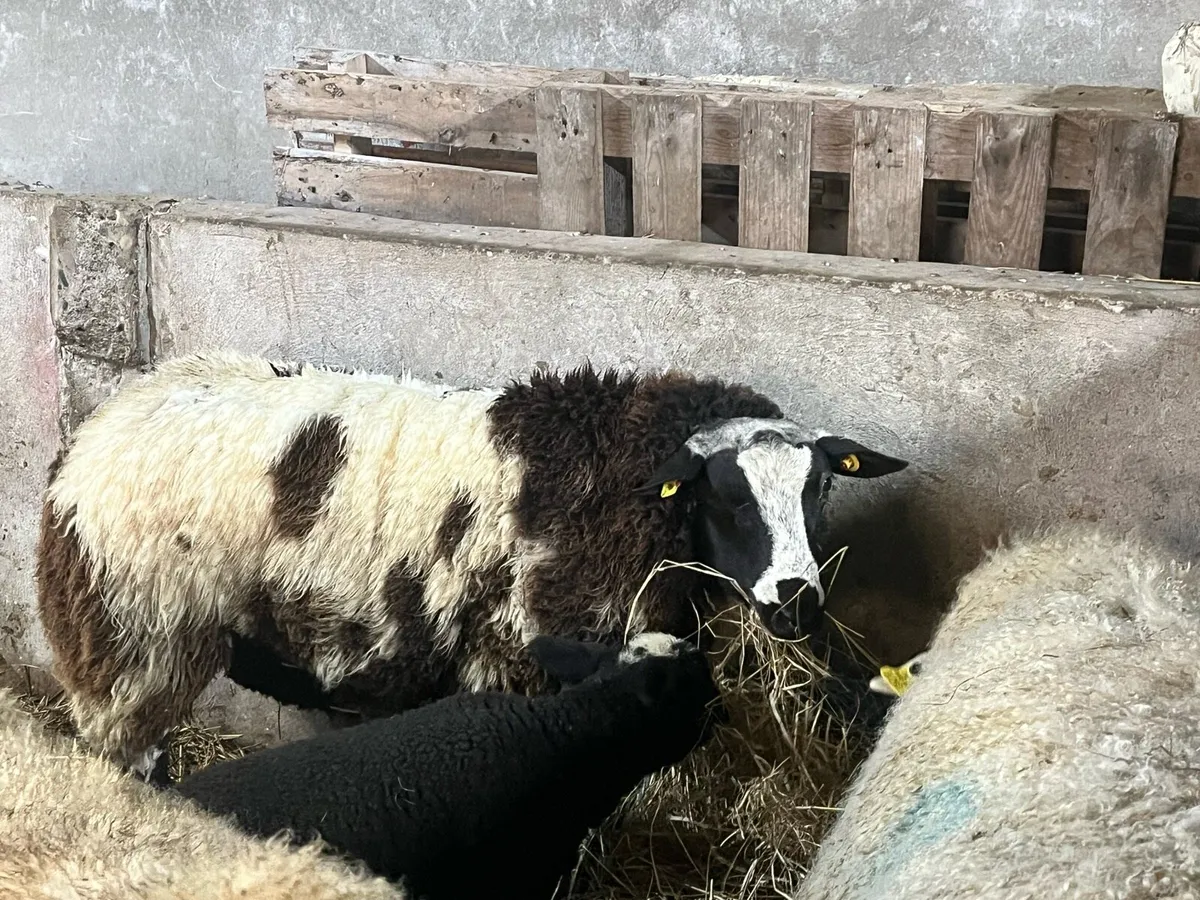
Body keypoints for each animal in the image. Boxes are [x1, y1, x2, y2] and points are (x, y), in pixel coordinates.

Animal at [36, 349, 908, 780]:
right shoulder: (517, 654)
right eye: (726, 497)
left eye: (820, 487)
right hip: (132, 637)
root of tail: (98, 426)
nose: (797, 602)